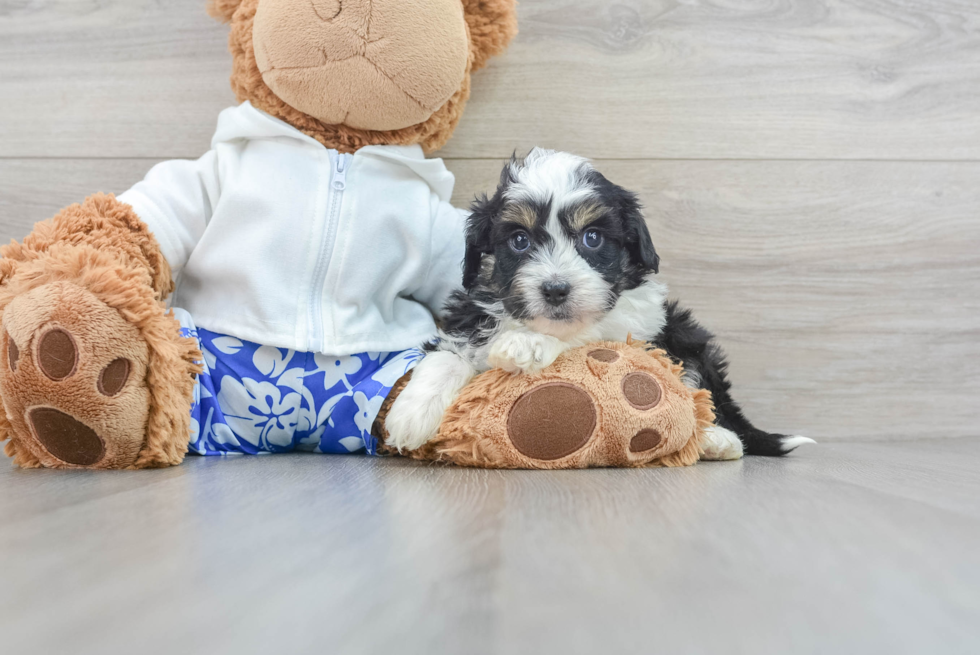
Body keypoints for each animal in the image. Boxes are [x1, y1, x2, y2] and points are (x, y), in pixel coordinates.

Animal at [382, 147, 812, 462]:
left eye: (592, 238)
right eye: (519, 240)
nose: (556, 290)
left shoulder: (637, 322)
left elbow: (586, 335)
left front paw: (526, 344)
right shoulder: (469, 313)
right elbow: (447, 355)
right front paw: (410, 414)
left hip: (685, 338)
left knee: (702, 397)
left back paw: (717, 440)